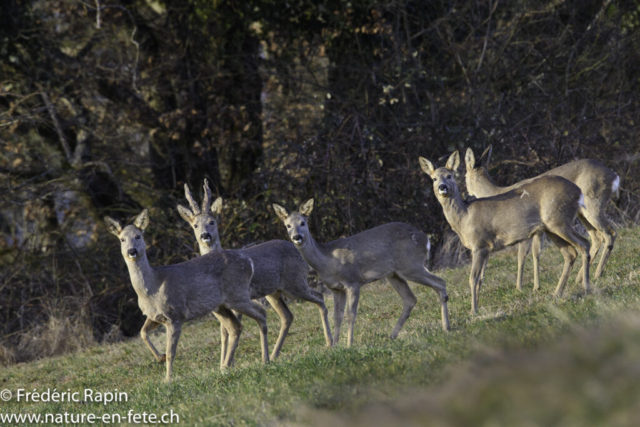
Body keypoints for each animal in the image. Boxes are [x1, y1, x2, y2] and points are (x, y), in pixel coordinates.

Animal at [104, 210, 268, 382]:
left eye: (138, 236)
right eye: (122, 239)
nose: (132, 251)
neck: (152, 287)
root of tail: (248, 261)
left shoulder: (175, 315)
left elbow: (171, 352)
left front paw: (168, 379)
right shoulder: (155, 316)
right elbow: (143, 333)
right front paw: (160, 358)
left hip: (237, 295)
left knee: (261, 312)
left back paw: (265, 360)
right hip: (221, 306)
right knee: (236, 327)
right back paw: (226, 367)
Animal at [178, 181, 332, 362]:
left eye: (212, 221)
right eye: (195, 225)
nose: (205, 235)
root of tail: (296, 250)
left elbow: (229, 330)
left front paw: (227, 362)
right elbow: (223, 331)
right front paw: (224, 362)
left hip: (295, 283)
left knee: (319, 297)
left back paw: (329, 343)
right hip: (274, 292)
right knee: (287, 316)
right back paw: (273, 355)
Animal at [272, 200, 450, 348]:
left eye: (303, 223)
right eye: (287, 225)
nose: (297, 237)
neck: (328, 261)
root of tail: (426, 239)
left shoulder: (353, 281)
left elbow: (351, 314)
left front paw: (349, 345)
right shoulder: (336, 289)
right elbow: (337, 316)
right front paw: (334, 347)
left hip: (410, 266)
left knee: (440, 282)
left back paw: (446, 327)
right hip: (394, 274)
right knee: (410, 299)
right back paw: (392, 335)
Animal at [420, 150, 592, 314]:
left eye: (449, 176)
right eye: (434, 179)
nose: (442, 187)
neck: (464, 218)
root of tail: (578, 192)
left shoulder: (480, 245)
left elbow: (473, 278)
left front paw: (473, 311)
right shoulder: (486, 248)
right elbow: (481, 278)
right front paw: (477, 307)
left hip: (559, 220)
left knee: (584, 244)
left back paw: (586, 288)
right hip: (551, 228)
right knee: (570, 253)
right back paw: (557, 294)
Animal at [464, 145, 620, 290]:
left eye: (464, 176)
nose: (466, 192)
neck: (498, 192)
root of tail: (614, 177)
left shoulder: (524, 228)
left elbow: (523, 255)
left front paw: (521, 287)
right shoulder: (537, 230)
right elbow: (536, 253)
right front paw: (535, 286)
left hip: (593, 204)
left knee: (610, 233)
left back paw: (597, 274)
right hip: (582, 214)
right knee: (596, 238)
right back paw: (579, 278)